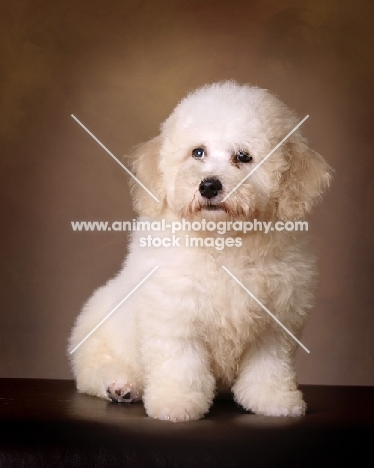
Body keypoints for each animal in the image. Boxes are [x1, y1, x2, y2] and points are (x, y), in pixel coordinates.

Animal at [68, 82, 332, 422]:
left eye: (243, 156)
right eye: (198, 152)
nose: (208, 185)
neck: (223, 240)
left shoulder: (275, 322)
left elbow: (269, 366)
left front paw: (273, 400)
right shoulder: (175, 312)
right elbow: (181, 364)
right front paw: (176, 403)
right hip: (97, 335)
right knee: (94, 370)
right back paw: (120, 386)